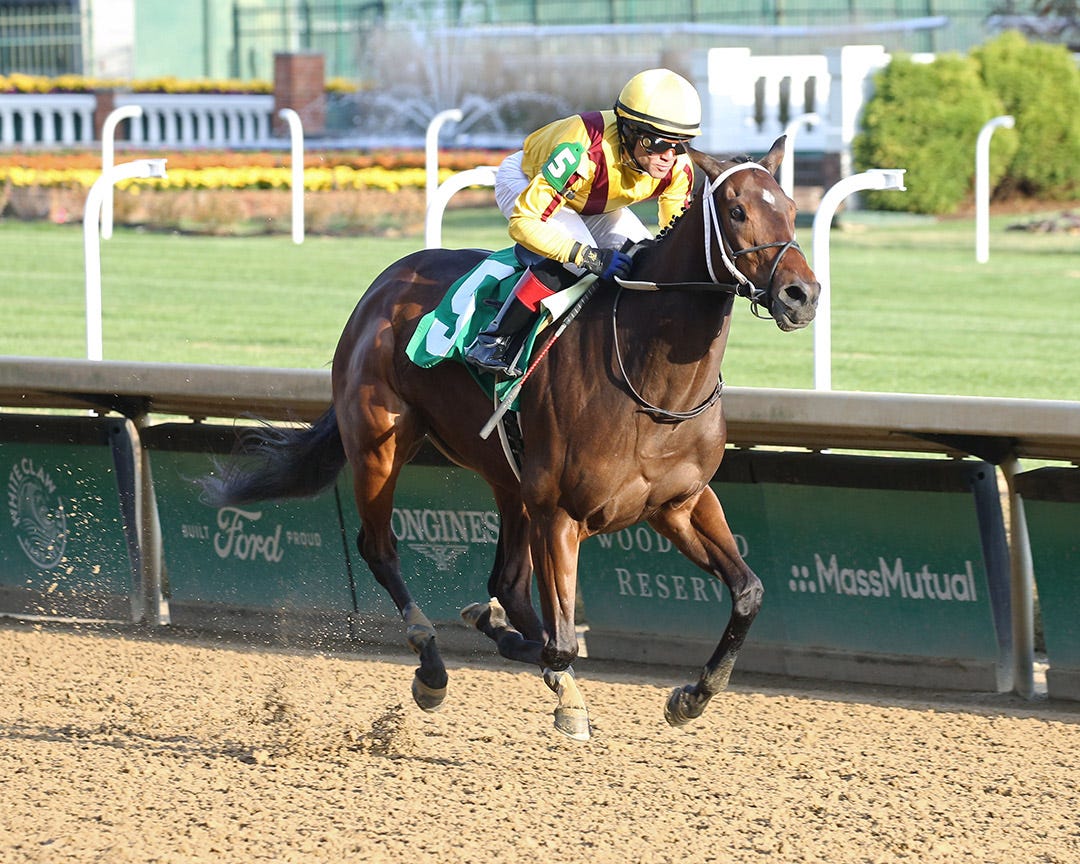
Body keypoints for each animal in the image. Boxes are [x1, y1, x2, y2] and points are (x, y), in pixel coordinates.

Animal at [201, 136, 820, 741]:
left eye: (791, 209)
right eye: (737, 211)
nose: (802, 294)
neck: (649, 379)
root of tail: (380, 288)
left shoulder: (678, 503)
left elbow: (747, 592)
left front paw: (691, 695)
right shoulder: (562, 512)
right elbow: (562, 642)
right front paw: (496, 631)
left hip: (510, 479)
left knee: (510, 582)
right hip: (382, 442)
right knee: (381, 549)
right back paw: (433, 667)